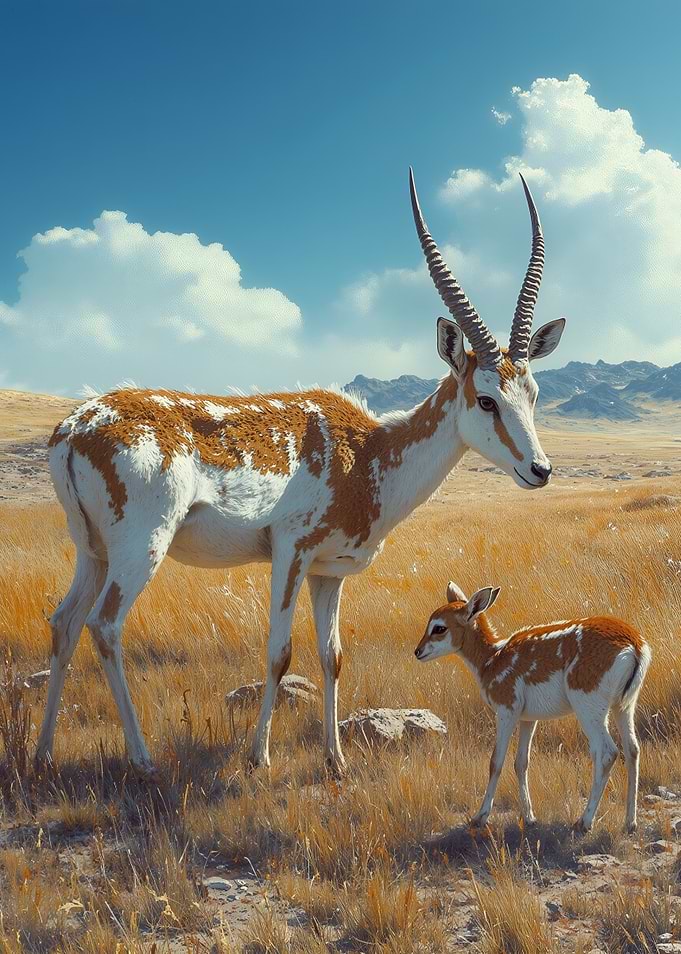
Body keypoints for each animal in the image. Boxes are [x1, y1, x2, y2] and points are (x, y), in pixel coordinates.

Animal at [36, 169, 566, 779]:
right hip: (139, 548)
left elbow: (331, 656)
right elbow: (279, 652)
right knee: (104, 626)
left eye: (532, 391)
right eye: (485, 399)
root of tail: (73, 427)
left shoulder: (327, 572)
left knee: (64, 623)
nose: (539, 469)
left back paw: (43, 753)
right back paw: (143, 759)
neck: (368, 452)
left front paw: (336, 759)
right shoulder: (290, 552)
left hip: (93, 552)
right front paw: (258, 756)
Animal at [415, 583, 651, 833]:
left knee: (607, 753)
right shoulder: (528, 719)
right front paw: (529, 818)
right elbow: (521, 762)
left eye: (439, 627)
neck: (492, 659)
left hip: (589, 707)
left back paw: (584, 822)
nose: (417, 651)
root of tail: (634, 644)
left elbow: (495, 762)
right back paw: (630, 822)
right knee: (632, 749)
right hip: (623, 706)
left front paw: (480, 817)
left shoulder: (506, 711)